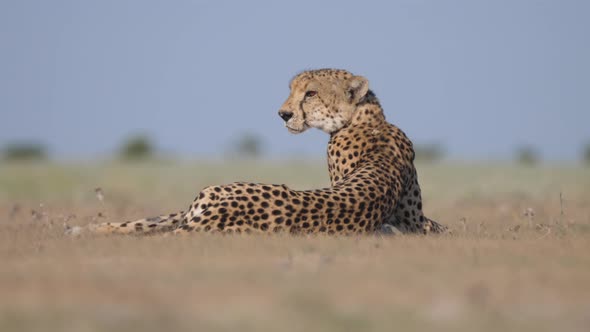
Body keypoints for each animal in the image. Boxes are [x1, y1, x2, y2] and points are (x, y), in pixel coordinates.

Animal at [84, 68, 448, 235]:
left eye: (310, 93)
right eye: (292, 89)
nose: (283, 114)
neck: (368, 119)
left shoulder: (412, 220)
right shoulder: (413, 220)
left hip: (209, 194)